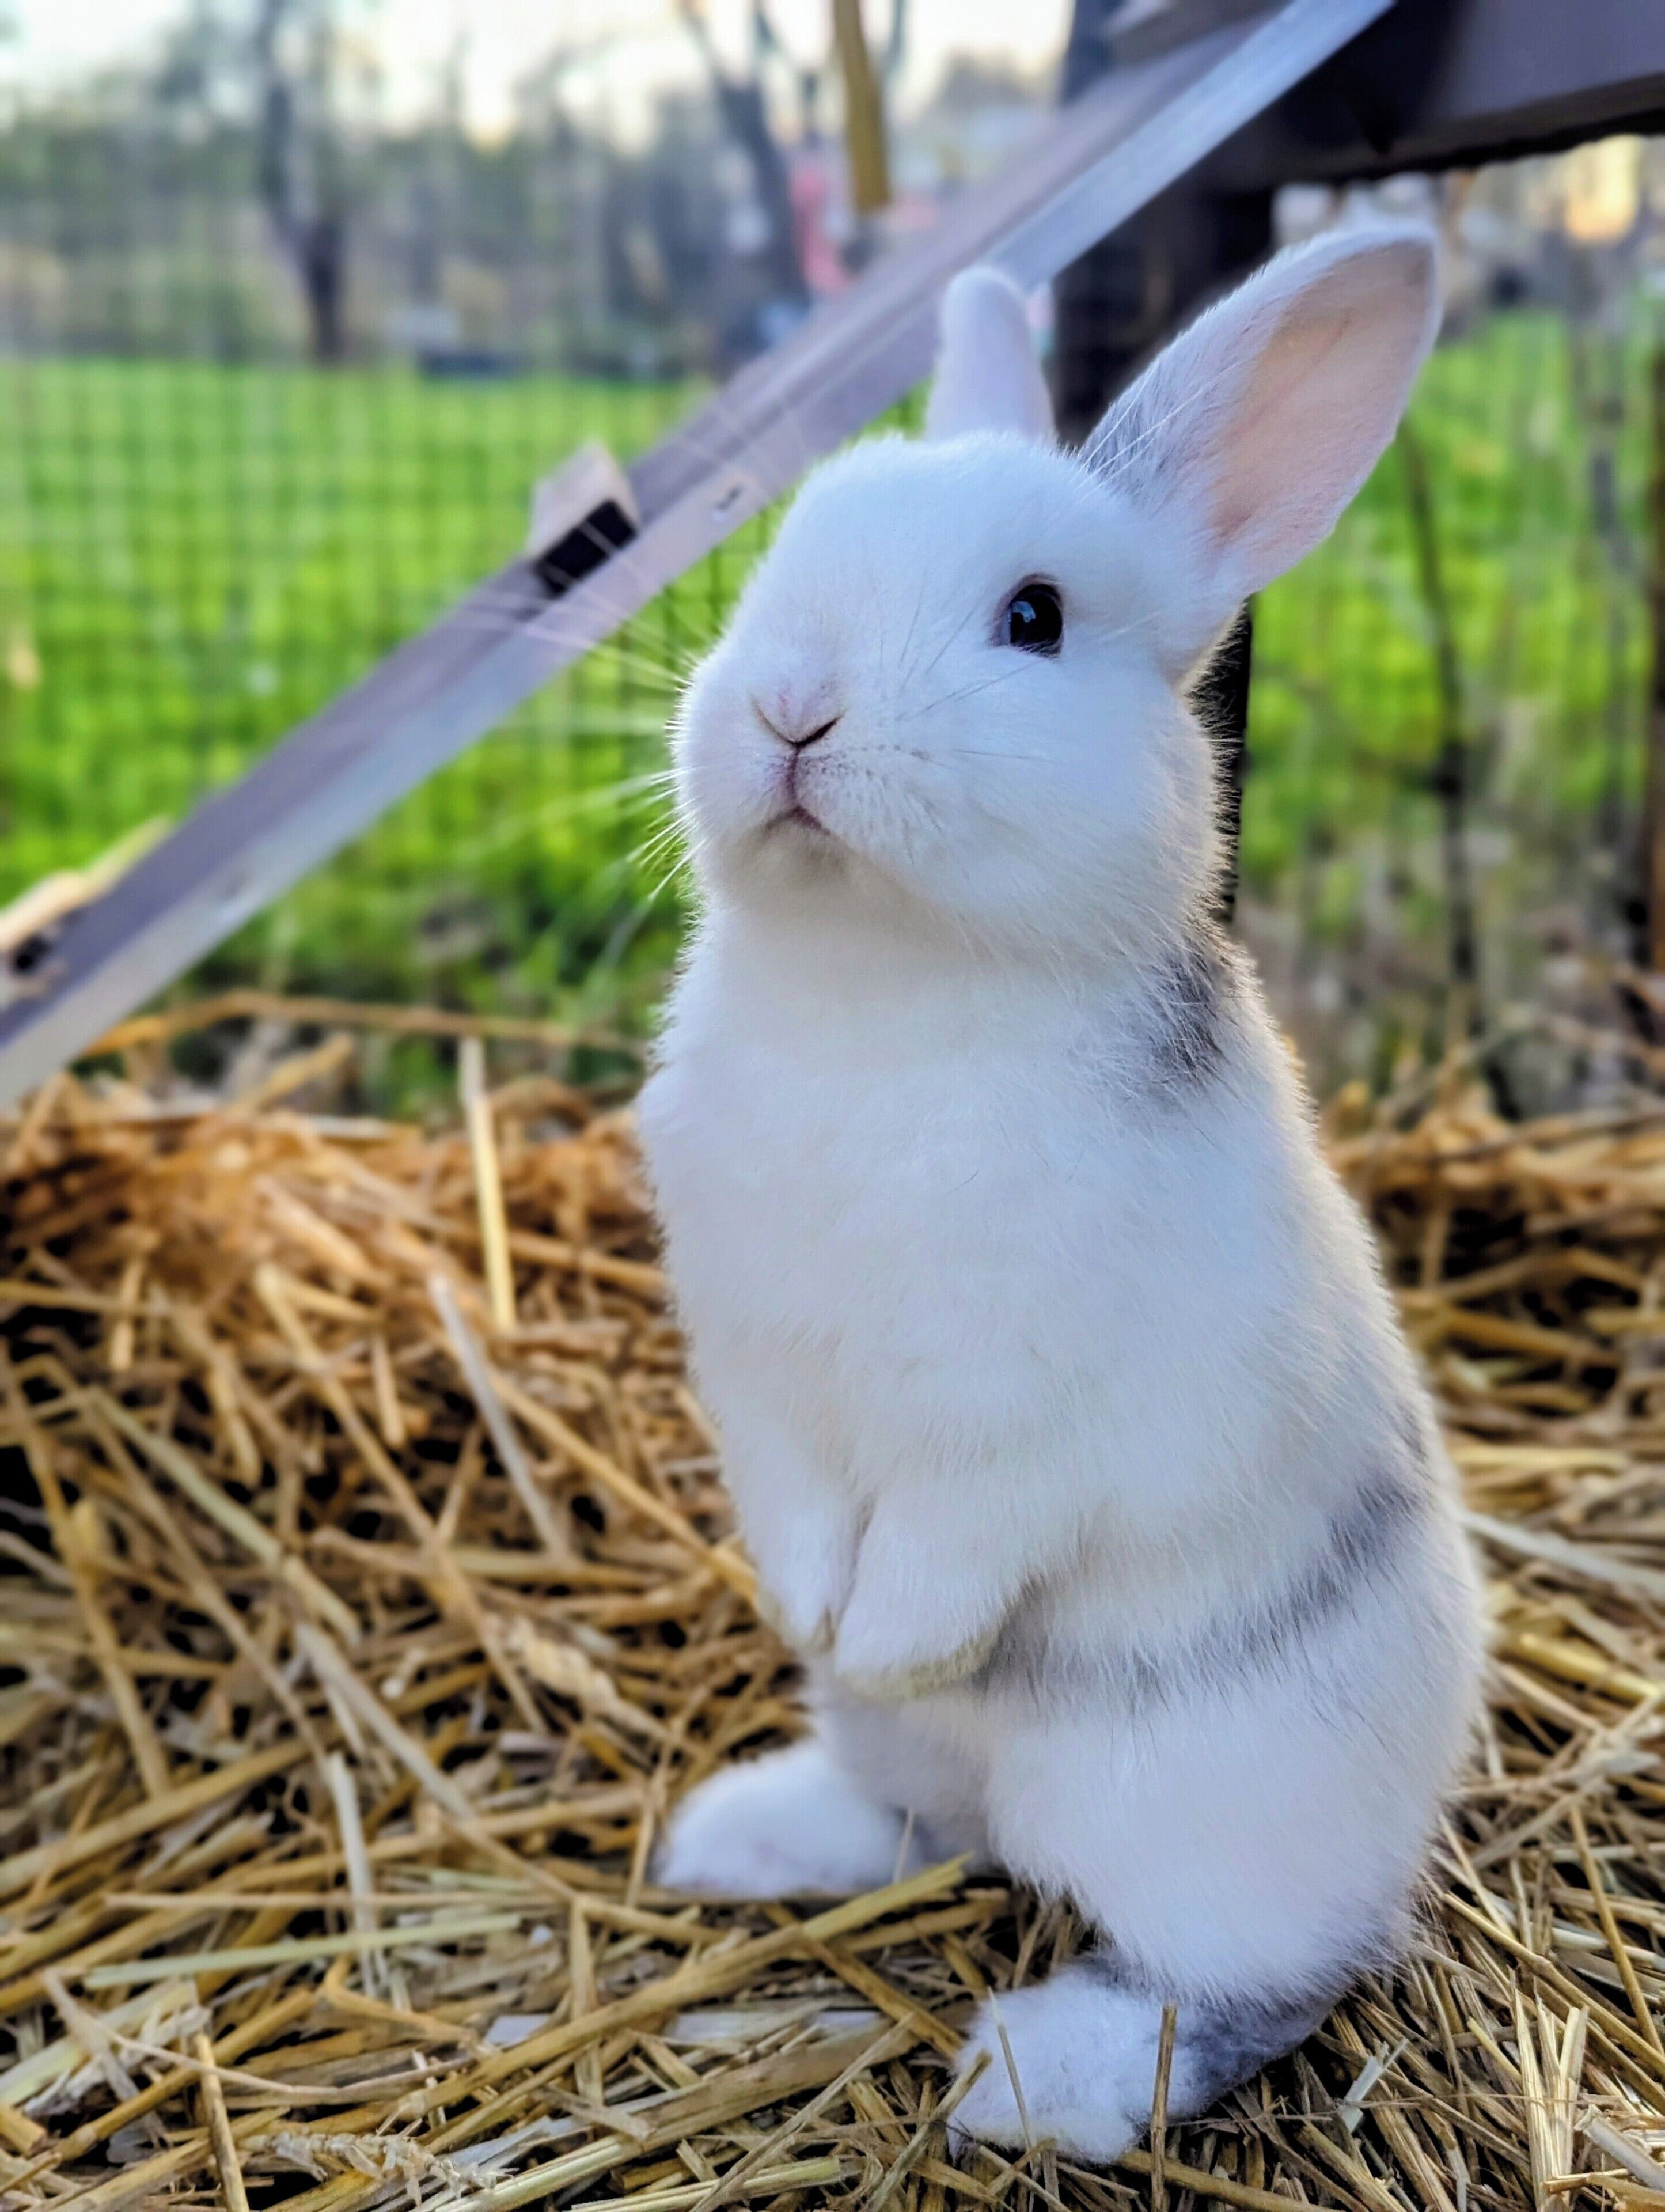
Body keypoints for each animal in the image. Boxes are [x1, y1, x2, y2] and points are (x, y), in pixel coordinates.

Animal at [637, 226, 1483, 2165]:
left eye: (1033, 618)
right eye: (786, 552)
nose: (789, 704)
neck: (882, 990)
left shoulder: (1018, 1419)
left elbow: (955, 1536)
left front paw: (889, 1627)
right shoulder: (757, 1375)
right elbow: (800, 1505)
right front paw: (812, 1614)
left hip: (1210, 1831)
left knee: (1260, 1980)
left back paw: (1032, 2074)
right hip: (923, 1768)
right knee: (920, 1816)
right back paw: (737, 1832)